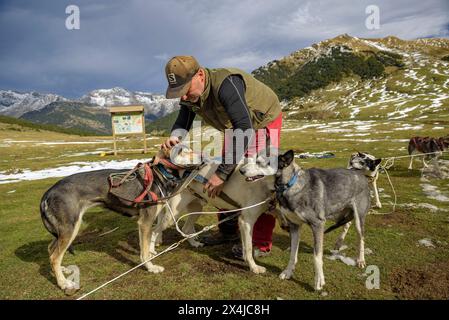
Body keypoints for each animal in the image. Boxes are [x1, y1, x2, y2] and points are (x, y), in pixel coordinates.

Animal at [242, 150, 372, 290]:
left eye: (259, 162)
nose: (241, 171)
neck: (290, 185)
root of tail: (359, 173)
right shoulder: (294, 226)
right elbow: (293, 254)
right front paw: (288, 272)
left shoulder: (318, 225)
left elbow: (317, 256)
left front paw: (319, 280)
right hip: (339, 214)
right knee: (346, 225)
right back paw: (338, 244)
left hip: (358, 219)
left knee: (361, 238)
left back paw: (360, 260)